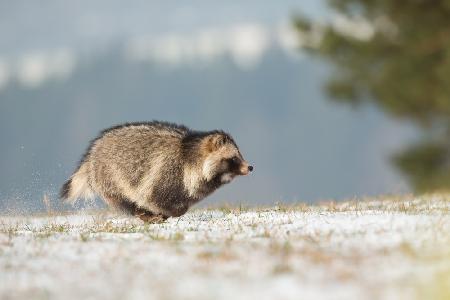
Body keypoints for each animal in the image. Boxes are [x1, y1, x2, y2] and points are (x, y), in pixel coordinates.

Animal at [59, 121, 253, 223]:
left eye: (240, 154)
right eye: (234, 158)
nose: (250, 167)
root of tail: (92, 152)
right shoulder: (165, 173)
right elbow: (155, 198)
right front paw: (163, 213)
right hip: (110, 177)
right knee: (124, 200)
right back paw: (142, 214)